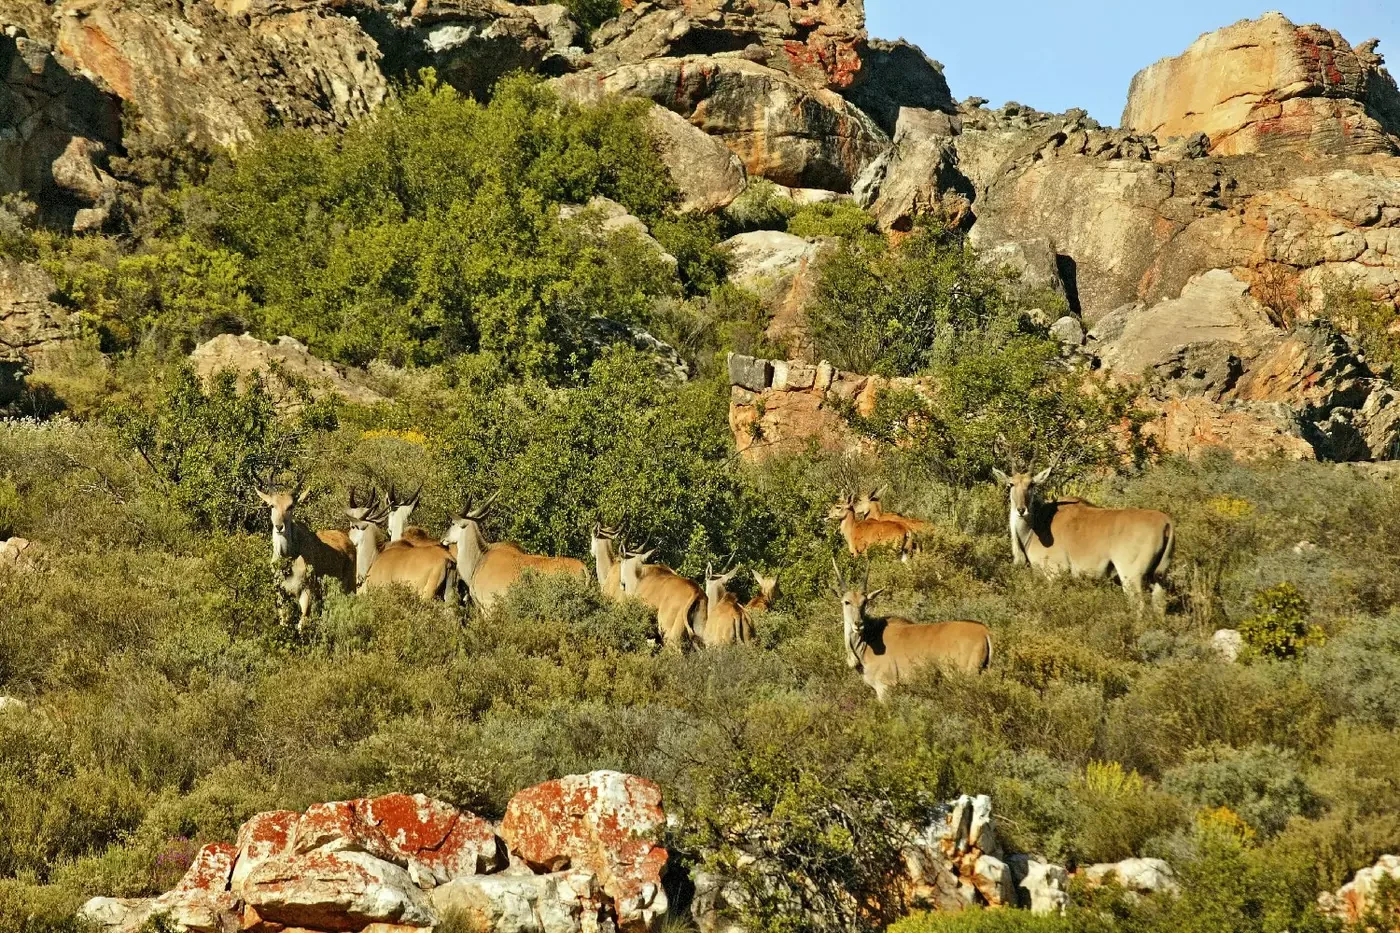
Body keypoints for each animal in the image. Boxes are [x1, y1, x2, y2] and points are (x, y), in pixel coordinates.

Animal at [256, 480, 357, 623]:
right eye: (272, 505)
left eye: (290, 506)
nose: (279, 526)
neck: (290, 557)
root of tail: (348, 540)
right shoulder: (281, 593)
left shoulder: (306, 592)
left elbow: (303, 620)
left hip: (349, 585)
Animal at [833, 560, 992, 701]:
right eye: (846, 602)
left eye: (864, 602)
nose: (858, 624)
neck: (869, 640)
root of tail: (984, 631)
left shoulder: (884, 687)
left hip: (968, 676)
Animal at [992, 462, 1174, 610]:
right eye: (1011, 484)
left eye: (1031, 485)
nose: (1021, 510)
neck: (1039, 523)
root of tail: (1166, 522)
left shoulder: (1054, 573)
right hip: (1159, 577)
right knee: (1159, 604)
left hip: (1131, 576)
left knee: (1139, 606)